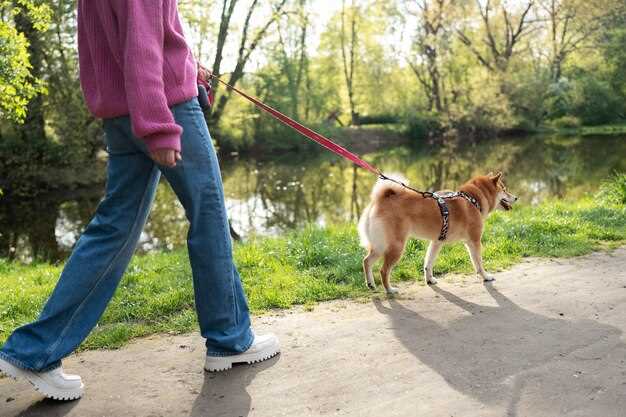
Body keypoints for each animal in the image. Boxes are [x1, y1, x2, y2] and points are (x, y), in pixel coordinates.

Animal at [356, 170, 516, 292]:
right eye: (504, 189)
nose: (516, 197)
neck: (472, 199)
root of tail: (380, 200)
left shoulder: (436, 242)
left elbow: (428, 263)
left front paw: (429, 280)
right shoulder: (474, 241)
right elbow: (478, 263)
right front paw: (485, 276)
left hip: (380, 245)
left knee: (366, 261)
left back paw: (370, 284)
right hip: (396, 246)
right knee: (383, 270)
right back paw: (390, 290)